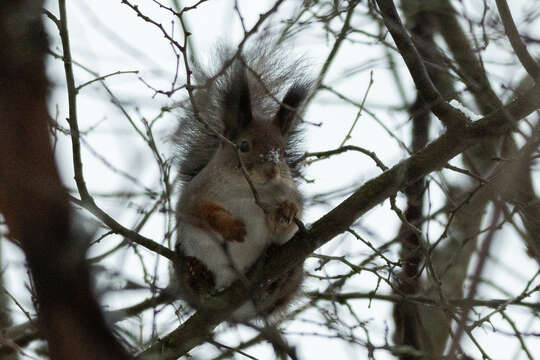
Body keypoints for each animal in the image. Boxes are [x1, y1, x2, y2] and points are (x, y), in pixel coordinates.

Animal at [172, 42, 308, 318]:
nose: (271, 172)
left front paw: (286, 212)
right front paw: (232, 227)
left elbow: (286, 227)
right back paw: (197, 275)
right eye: (243, 146)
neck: (246, 191)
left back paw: (272, 282)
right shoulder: (193, 196)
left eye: (283, 152)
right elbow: (199, 213)